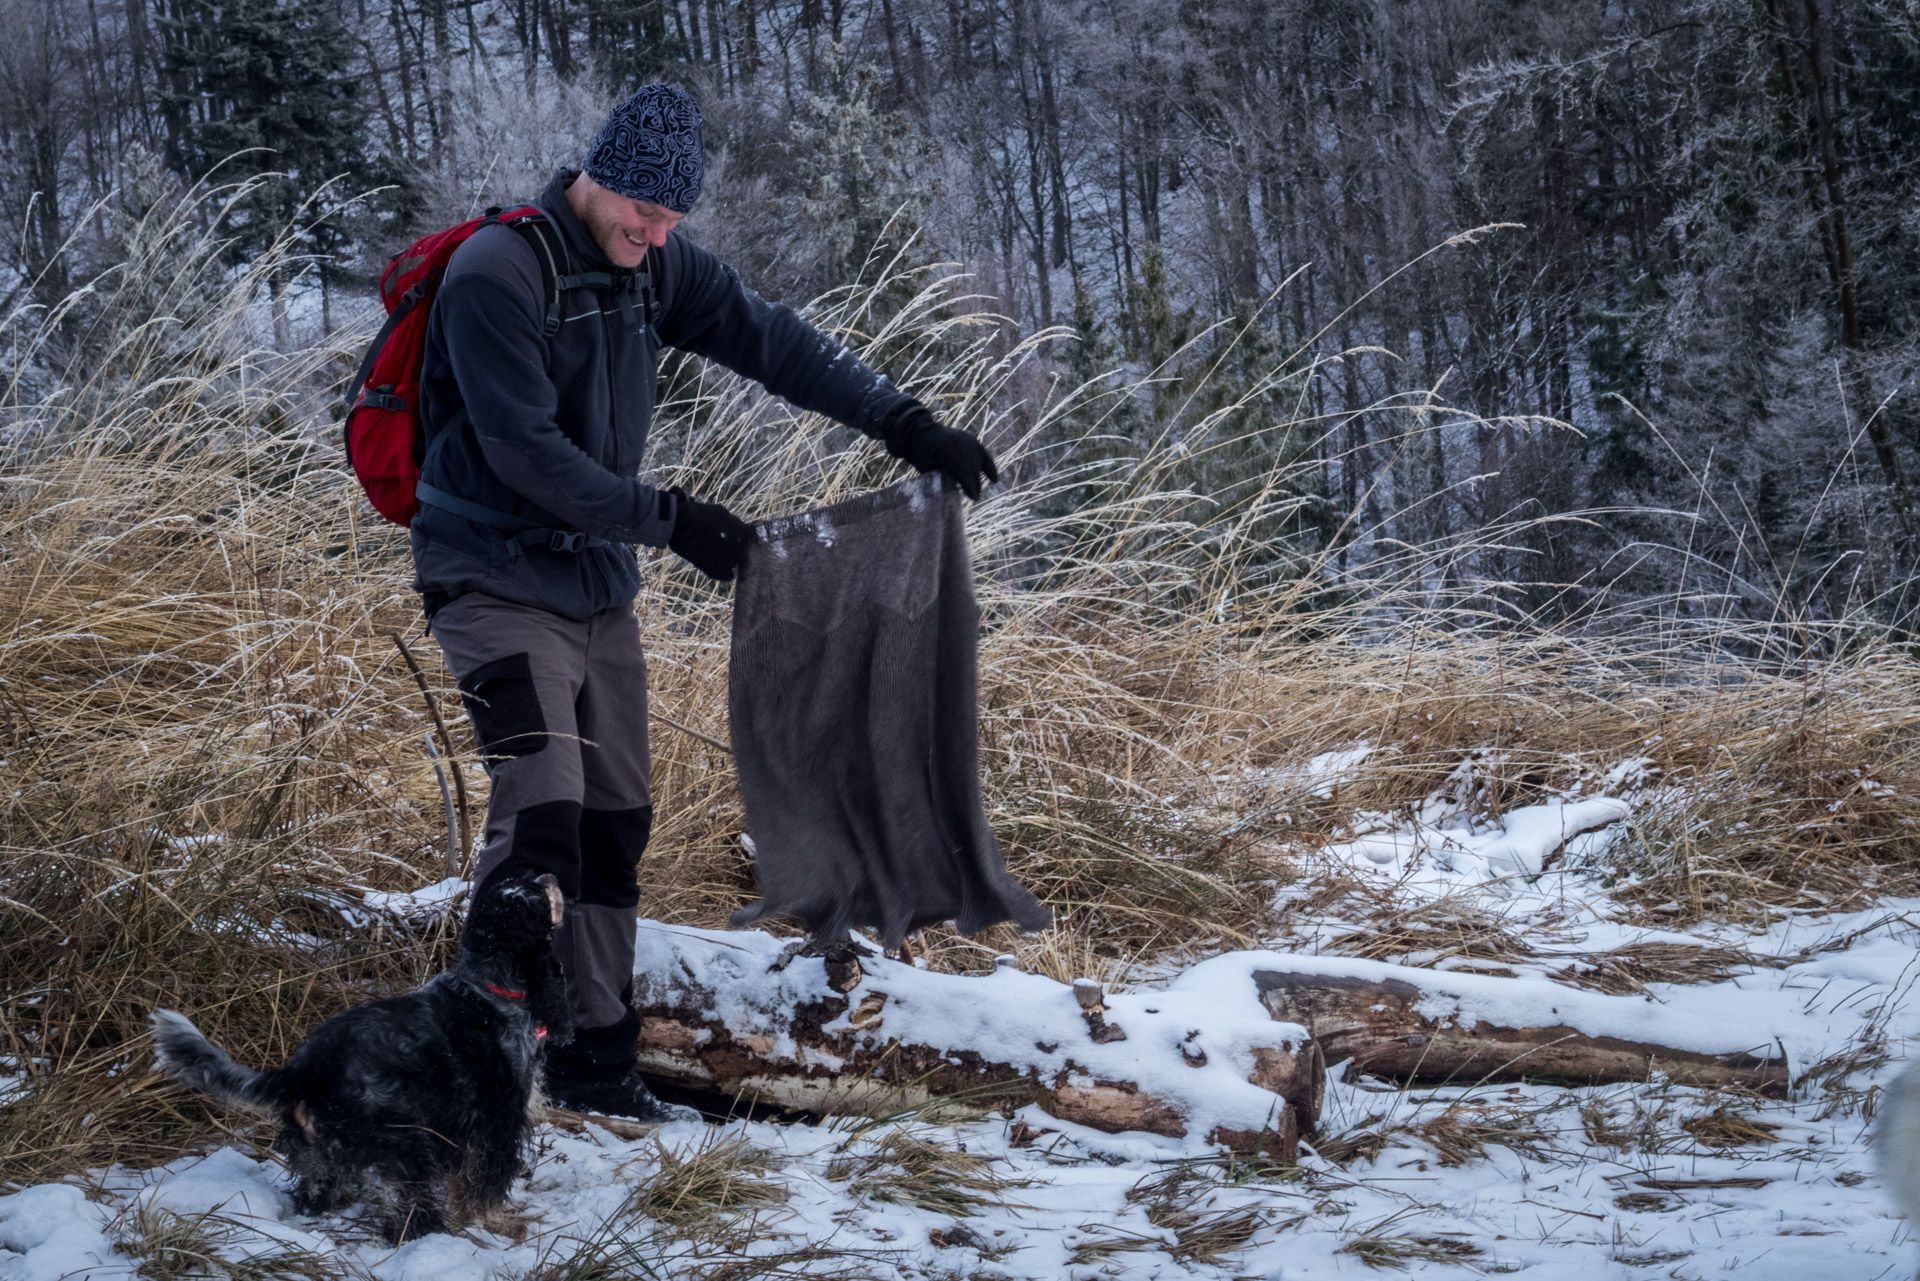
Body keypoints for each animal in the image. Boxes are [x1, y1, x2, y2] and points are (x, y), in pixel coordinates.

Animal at [150, 871, 572, 1244]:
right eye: (537, 896)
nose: (550, 875)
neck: (487, 986)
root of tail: (302, 1073)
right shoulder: (496, 1123)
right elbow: (484, 1185)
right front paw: (500, 1225)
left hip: (317, 1153)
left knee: (313, 1192)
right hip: (405, 1145)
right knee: (412, 1211)